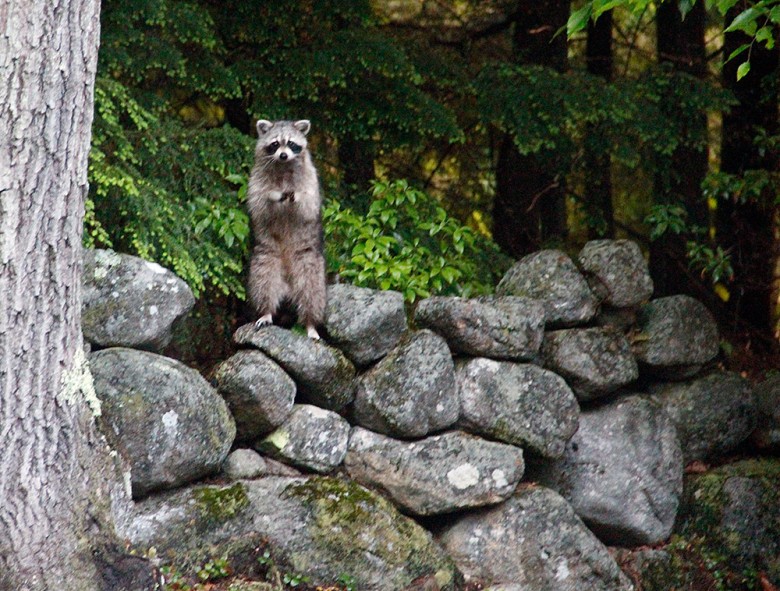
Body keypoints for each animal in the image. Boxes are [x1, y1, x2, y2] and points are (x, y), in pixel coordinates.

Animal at [247, 118, 326, 340]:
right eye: (275, 144)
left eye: (291, 143)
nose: (283, 155)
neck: (283, 165)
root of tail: (289, 284)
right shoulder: (257, 180)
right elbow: (260, 204)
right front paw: (273, 195)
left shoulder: (310, 179)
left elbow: (308, 204)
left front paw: (297, 197)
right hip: (266, 257)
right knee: (264, 283)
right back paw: (266, 312)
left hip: (309, 261)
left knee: (312, 292)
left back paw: (310, 323)